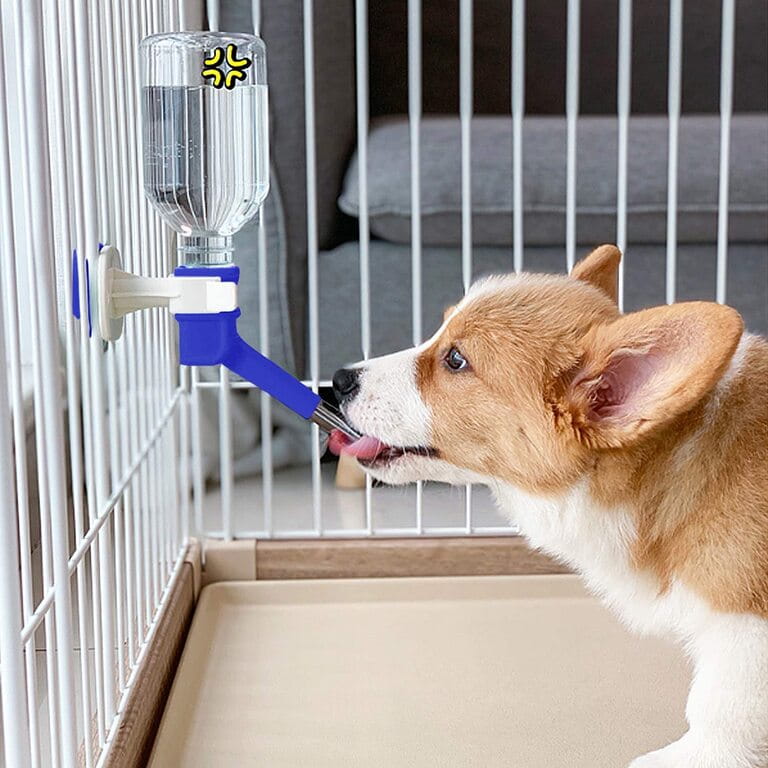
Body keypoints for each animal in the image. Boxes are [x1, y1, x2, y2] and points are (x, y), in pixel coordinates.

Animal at [328, 246, 768, 768]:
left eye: (456, 360)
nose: (336, 380)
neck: (665, 462)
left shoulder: (744, 623)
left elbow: (721, 704)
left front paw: (692, 758)